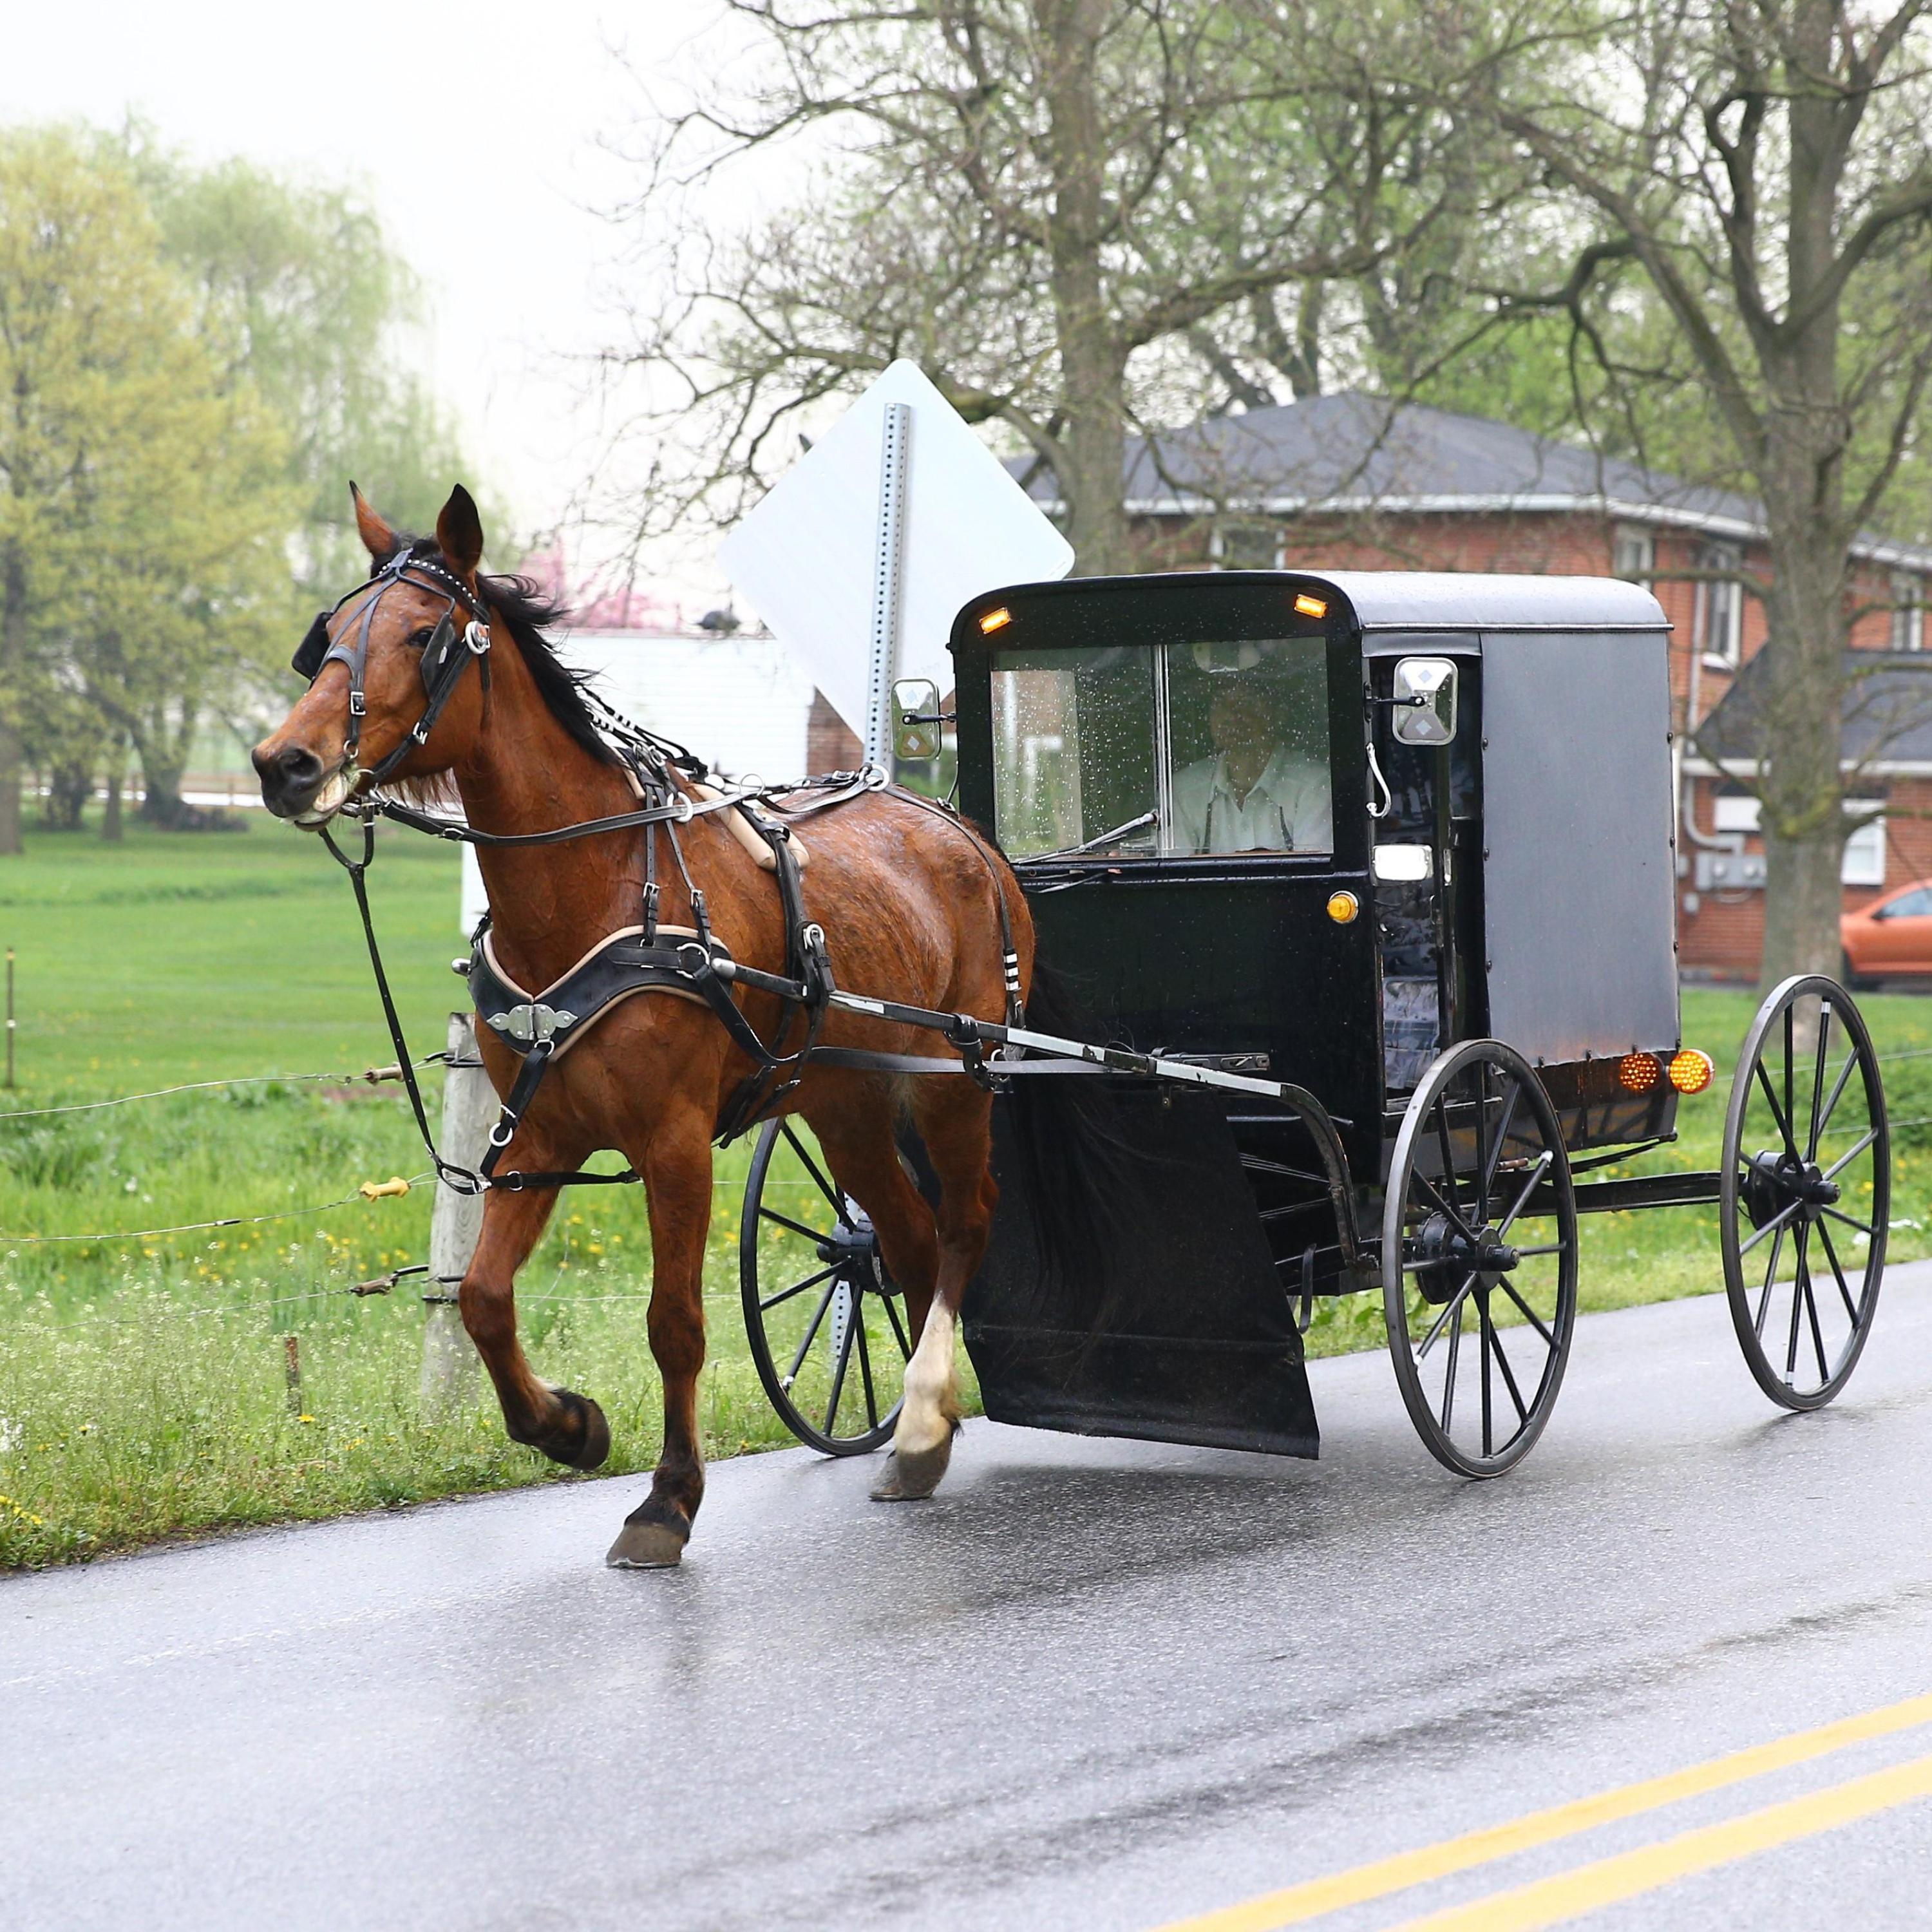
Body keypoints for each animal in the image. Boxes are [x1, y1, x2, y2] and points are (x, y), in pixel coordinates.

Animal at [259, 487, 1043, 1569]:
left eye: (424, 635)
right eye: (328, 633)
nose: (284, 764)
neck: (585, 892)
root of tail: (962, 833)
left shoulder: (674, 1145)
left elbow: (674, 1322)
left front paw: (668, 1499)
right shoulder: (536, 1138)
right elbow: (483, 1299)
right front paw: (566, 1426)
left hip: (955, 1079)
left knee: (966, 1222)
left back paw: (926, 1414)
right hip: (844, 1100)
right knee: (910, 1239)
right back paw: (924, 1435)